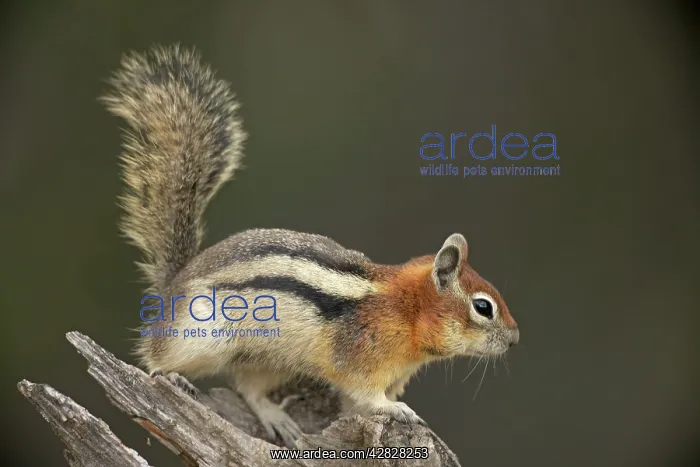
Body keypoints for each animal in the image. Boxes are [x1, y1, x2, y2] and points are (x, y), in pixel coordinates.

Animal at [101, 44, 519, 449]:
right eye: (484, 307)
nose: (515, 340)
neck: (406, 310)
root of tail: (172, 286)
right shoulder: (359, 359)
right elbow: (366, 395)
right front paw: (397, 409)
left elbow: (354, 405)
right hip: (205, 338)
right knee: (156, 359)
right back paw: (171, 377)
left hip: (270, 362)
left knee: (250, 390)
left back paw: (276, 418)